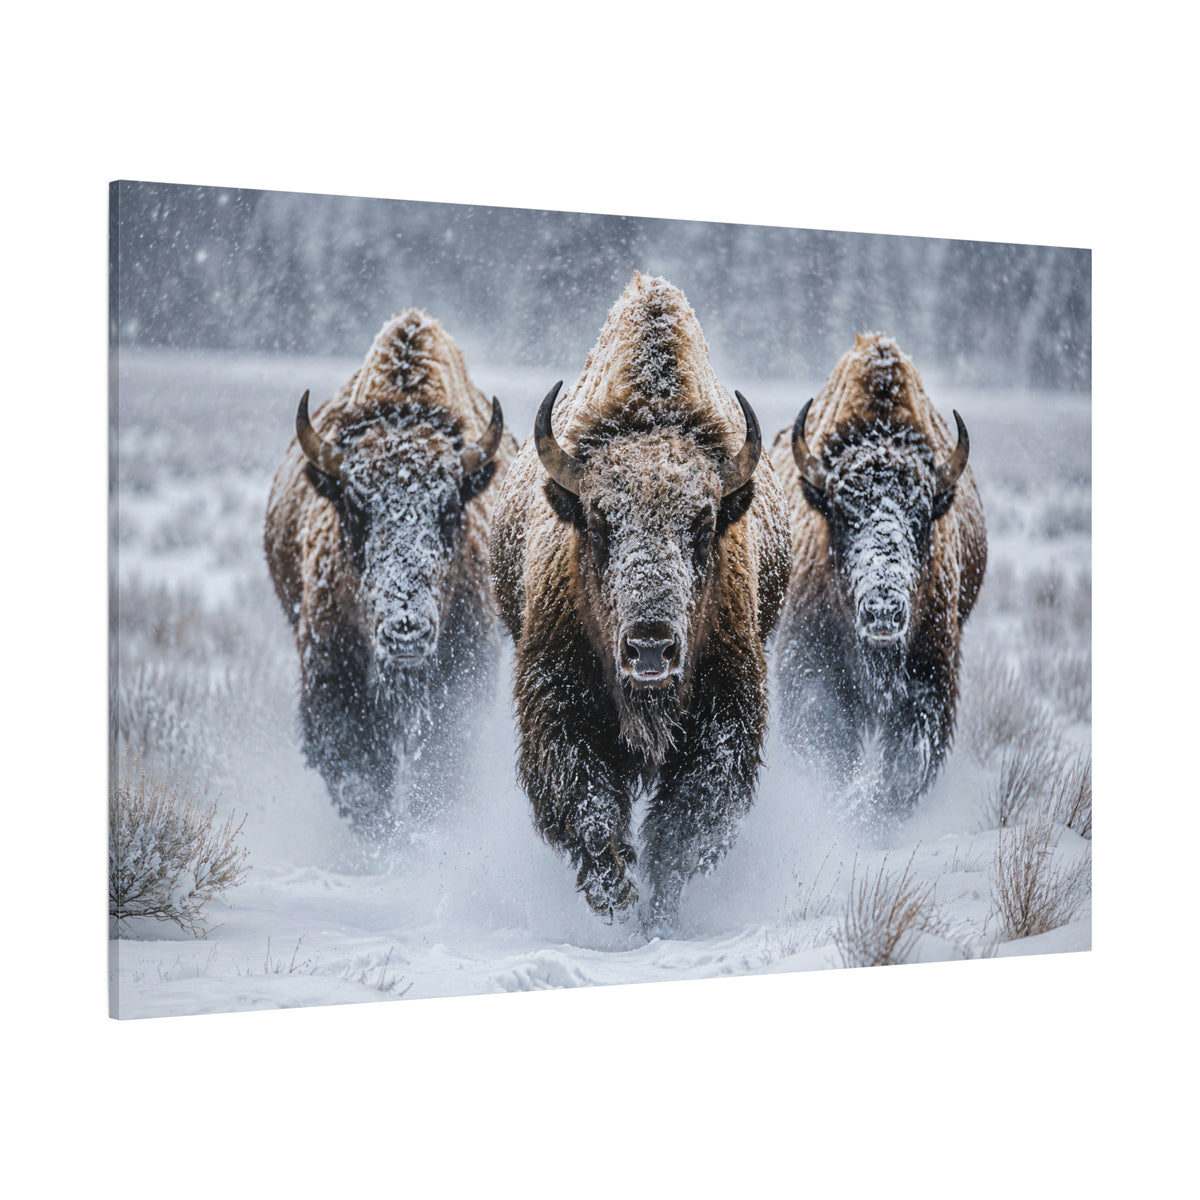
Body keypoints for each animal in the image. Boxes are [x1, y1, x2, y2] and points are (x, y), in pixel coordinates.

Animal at [491, 274, 791, 933]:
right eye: (600, 521)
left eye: (702, 525)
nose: (651, 647)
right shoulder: (559, 712)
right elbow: (588, 807)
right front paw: (617, 900)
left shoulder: (724, 720)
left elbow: (687, 824)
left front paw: (660, 912)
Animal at [770, 333, 987, 814]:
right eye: (843, 512)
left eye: (921, 516)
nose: (883, 611)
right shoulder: (811, 669)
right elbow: (827, 749)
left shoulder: (931, 677)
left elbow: (904, 765)